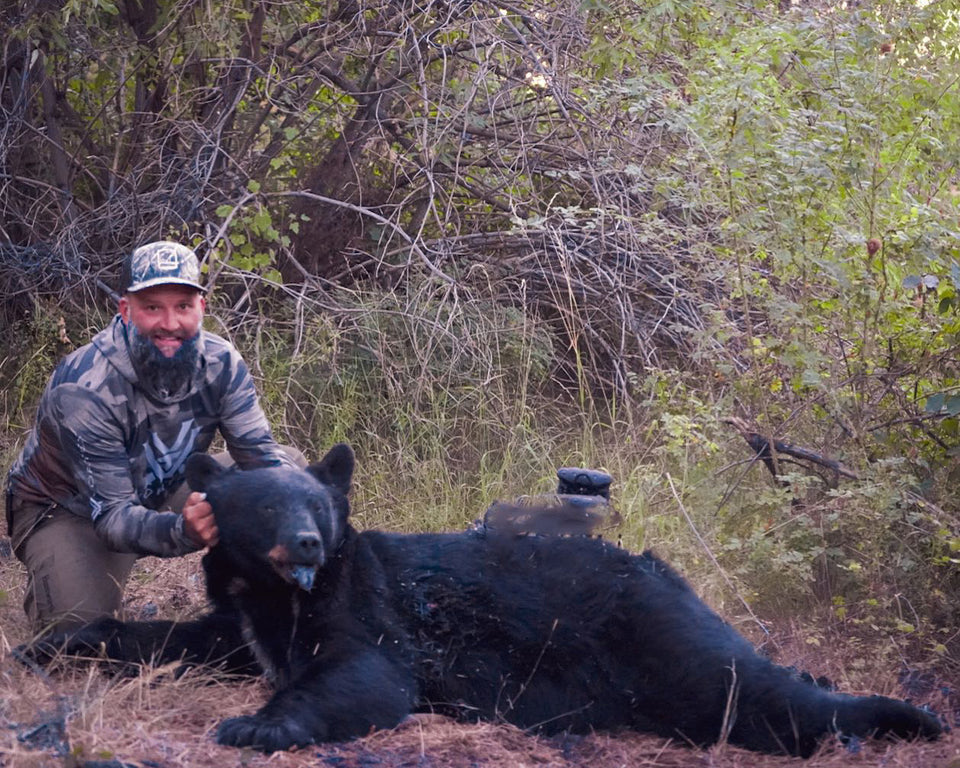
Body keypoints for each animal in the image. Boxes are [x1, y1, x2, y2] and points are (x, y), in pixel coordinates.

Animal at [20, 444, 936, 756]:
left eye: (316, 507)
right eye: (268, 508)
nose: (309, 545)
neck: (280, 592)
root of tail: (666, 573)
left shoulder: (368, 609)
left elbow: (364, 675)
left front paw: (257, 725)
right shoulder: (243, 620)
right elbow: (177, 637)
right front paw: (49, 644)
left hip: (656, 635)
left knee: (749, 690)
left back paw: (903, 715)